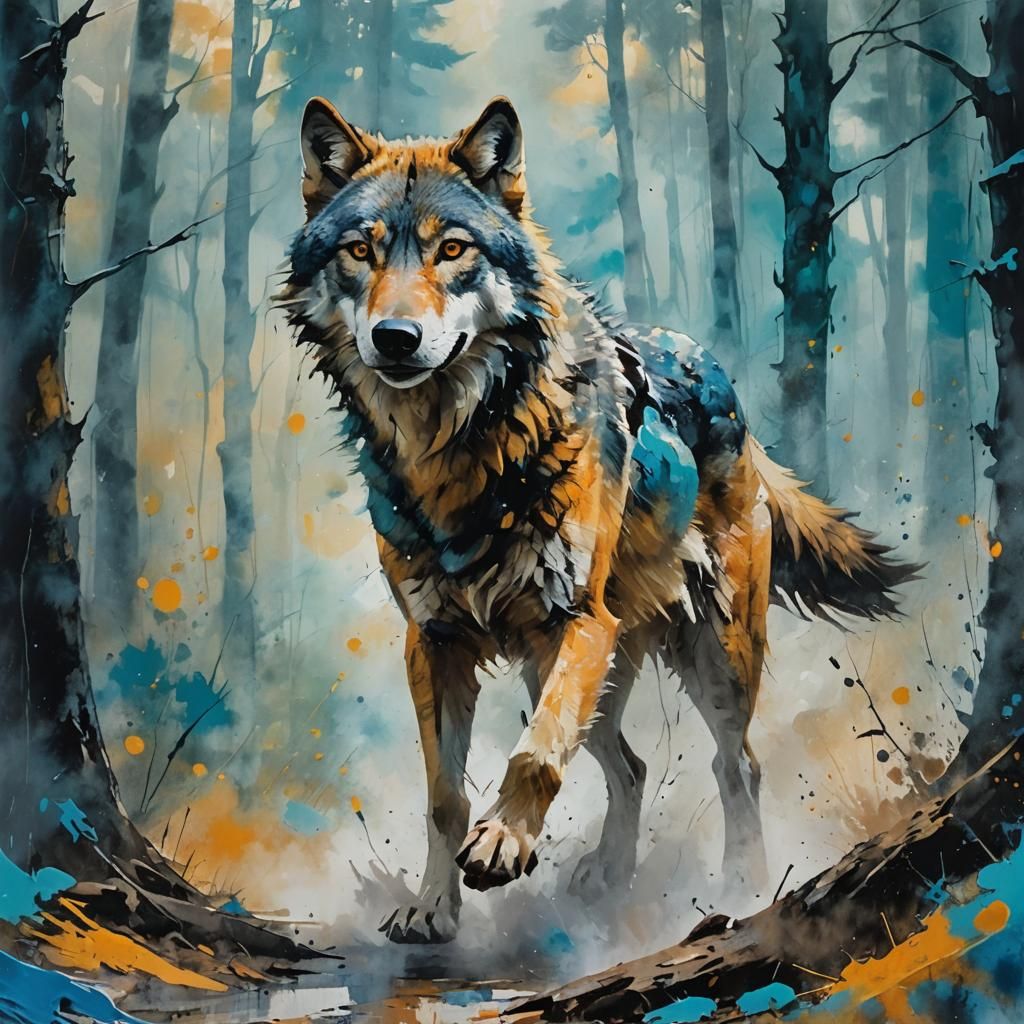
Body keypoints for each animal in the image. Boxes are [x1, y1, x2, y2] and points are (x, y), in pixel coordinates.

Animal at [279, 96, 914, 944]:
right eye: (359, 251)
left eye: (453, 250)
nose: (396, 338)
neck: (464, 450)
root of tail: (719, 376)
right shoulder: (434, 642)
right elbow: (444, 796)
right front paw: (432, 906)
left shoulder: (579, 619)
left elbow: (536, 754)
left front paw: (504, 841)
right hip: (572, 661)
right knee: (633, 767)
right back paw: (611, 872)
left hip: (704, 650)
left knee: (735, 764)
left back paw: (742, 884)